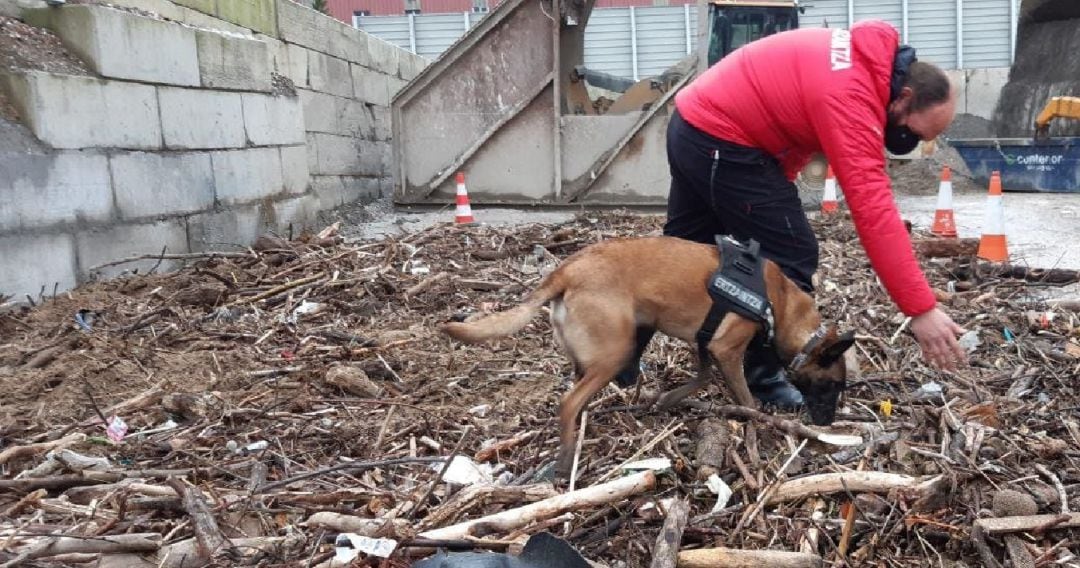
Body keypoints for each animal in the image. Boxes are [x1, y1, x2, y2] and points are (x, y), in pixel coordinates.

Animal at [436, 236, 851, 481]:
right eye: (832, 385)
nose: (827, 423)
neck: (778, 300)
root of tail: (567, 270)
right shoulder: (726, 350)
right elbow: (746, 399)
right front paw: (756, 428)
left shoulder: (705, 344)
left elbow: (701, 377)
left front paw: (666, 400)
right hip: (614, 353)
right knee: (568, 403)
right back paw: (566, 460)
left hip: (592, 357)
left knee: (575, 397)